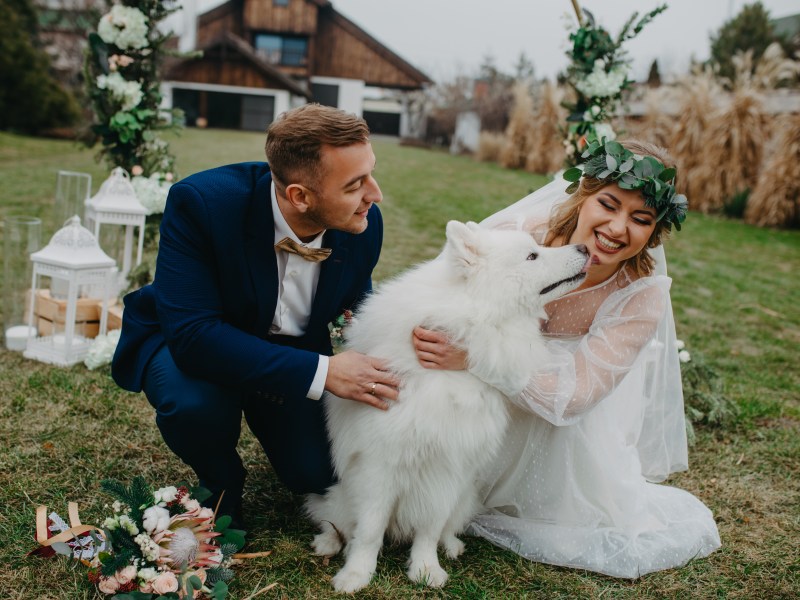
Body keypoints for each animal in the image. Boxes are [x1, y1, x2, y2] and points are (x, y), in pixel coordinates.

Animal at [306, 219, 588, 592]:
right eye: (532, 256)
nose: (585, 247)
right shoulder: (380, 466)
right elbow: (369, 530)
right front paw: (356, 574)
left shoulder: (450, 466)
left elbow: (429, 526)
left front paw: (425, 569)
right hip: (340, 492)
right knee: (334, 518)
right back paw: (329, 541)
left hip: (465, 496)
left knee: (446, 526)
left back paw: (451, 545)